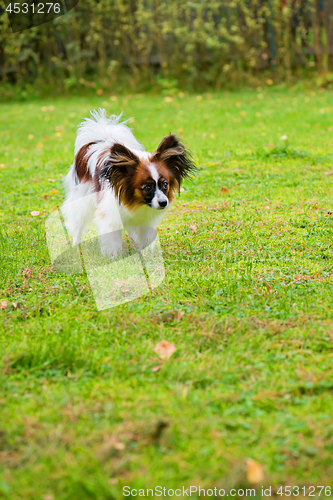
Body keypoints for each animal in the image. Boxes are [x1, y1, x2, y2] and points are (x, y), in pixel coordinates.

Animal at [61, 109, 196, 258]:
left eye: (165, 184)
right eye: (147, 187)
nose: (163, 203)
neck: (135, 203)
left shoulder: (144, 221)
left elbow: (145, 239)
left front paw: (145, 255)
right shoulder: (110, 217)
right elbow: (113, 241)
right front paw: (114, 258)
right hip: (82, 202)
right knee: (77, 225)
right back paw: (76, 246)